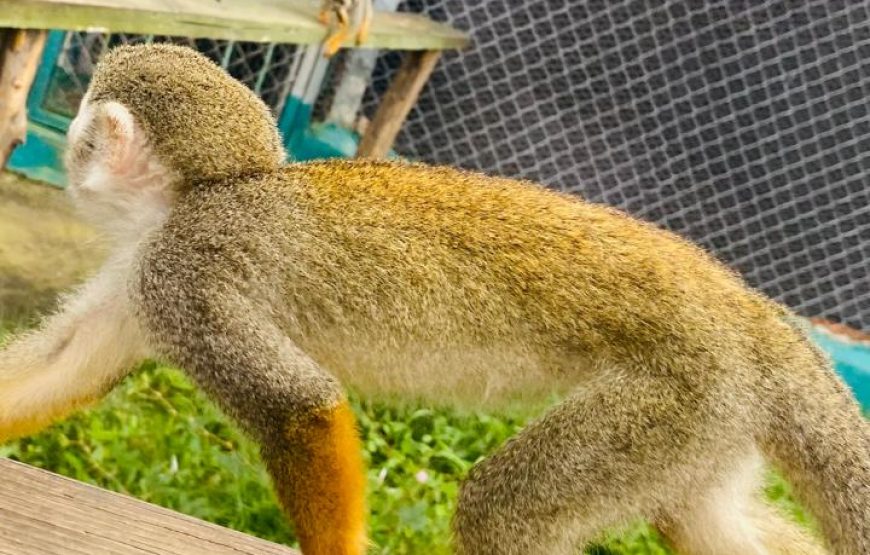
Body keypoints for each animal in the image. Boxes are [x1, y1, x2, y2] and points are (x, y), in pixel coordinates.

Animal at [0, 44, 867, 555]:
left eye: (82, 127)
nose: (71, 147)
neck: (201, 195)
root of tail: (758, 315)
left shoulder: (182, 270)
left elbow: (297, 405)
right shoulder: (147, 269)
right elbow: (69, 362)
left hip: (677, 393)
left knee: (499, 513)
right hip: (713, 420)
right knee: (698, 513)